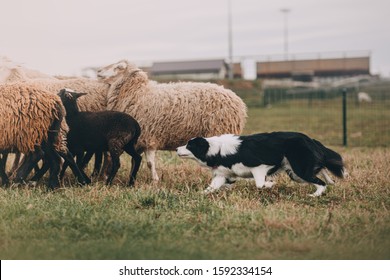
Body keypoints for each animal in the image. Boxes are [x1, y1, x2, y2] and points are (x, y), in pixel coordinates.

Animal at [97, 60, 247, 180]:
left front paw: (155, 181)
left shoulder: (149, 136)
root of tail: (237, 100)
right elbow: (135, 161)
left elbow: (150, 163)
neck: (138, 93)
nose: (98, 71)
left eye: (119, 67)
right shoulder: (140, 140)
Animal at [177, 132, 344, 196]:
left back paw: (315, 195)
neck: (216, 150)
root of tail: (310, 139)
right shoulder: (221, 175)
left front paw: (270, 184)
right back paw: (330, 180)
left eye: (189, 145)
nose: (177, 149)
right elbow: (211, 188)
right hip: (296, 173)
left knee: (320, 182)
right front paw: (199, 195)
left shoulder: (259, 167)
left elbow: (260, 184)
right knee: (321, 169)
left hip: (299, 168)